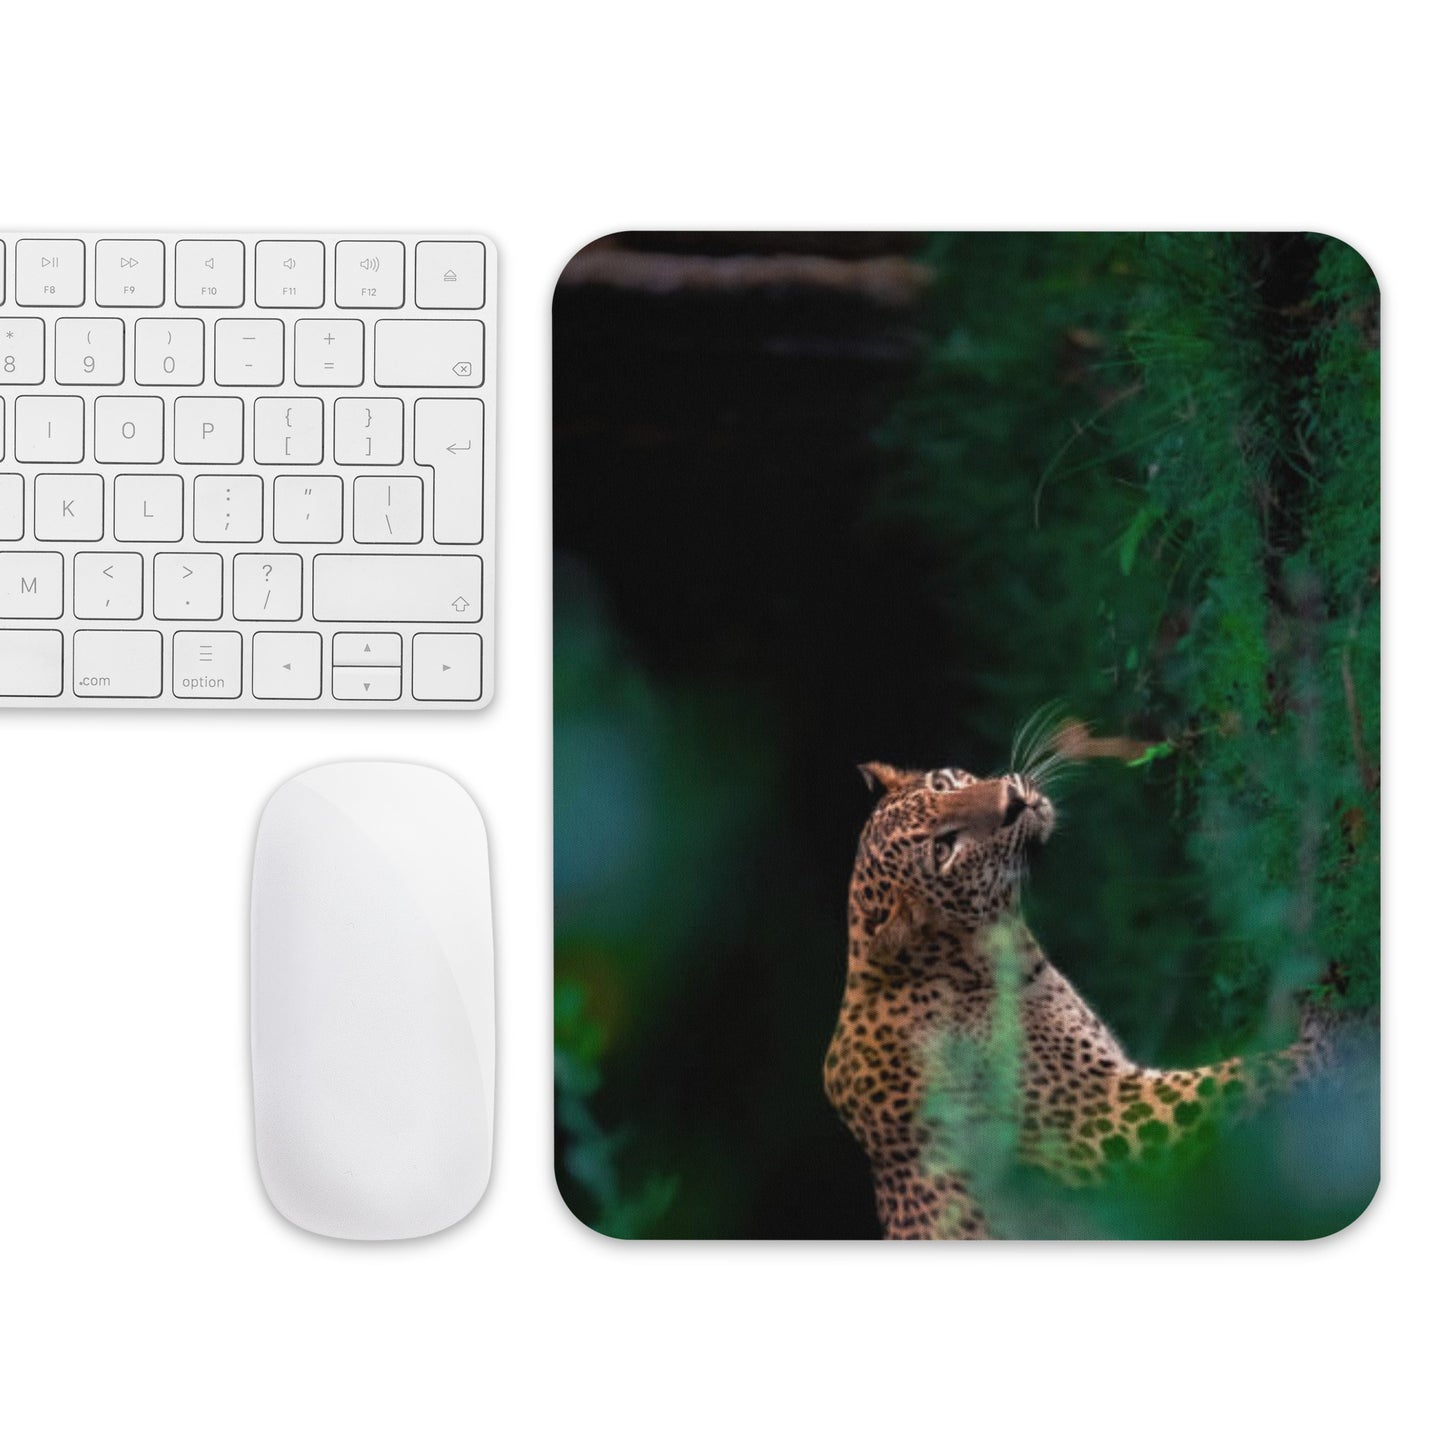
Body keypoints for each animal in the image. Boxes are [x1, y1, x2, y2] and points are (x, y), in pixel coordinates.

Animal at [823, 756, 1351, 1240]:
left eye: (944, 782)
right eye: (943, 848)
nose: (1011, 801)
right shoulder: (1100, 1115)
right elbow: (1235, 1078)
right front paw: (1337, 1033)